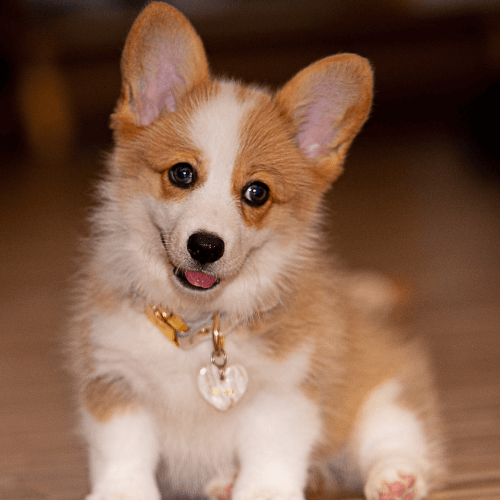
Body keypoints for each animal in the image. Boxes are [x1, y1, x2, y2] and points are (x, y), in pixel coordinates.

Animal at [67, 1, 446, 498]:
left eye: (257, 193)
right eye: (182, 173)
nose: (206, 246)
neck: (198, 328)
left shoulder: (284, 392)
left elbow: (270, 456)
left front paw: (260, 489)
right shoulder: (115, 381)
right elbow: (123, 456)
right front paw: (122, 492)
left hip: (381, 387)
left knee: (393, 434)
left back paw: (396, 478)